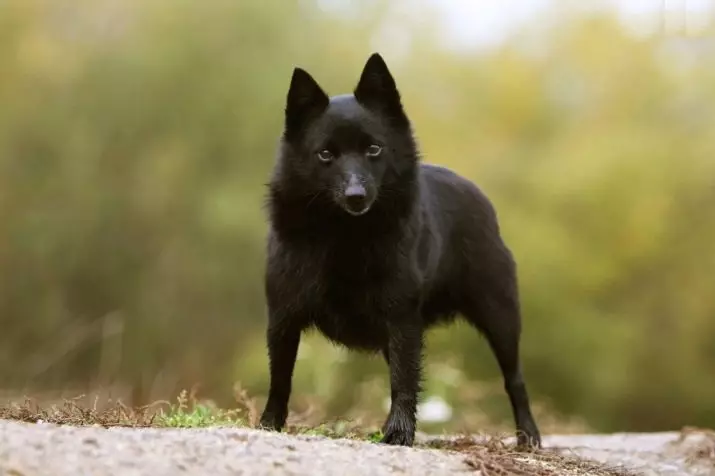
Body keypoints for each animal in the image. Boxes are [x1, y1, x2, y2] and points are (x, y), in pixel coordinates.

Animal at [258, 54, 544, 448]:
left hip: (500, 316)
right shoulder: (283, 317)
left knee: (514, 379)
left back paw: (528, 435)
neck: (344, 235)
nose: (356, 196)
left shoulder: (402, 318)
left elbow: (404, 380)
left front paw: (399, 433)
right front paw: (269, 424)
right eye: (326, 154)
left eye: (374, 149)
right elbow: (280, 378)